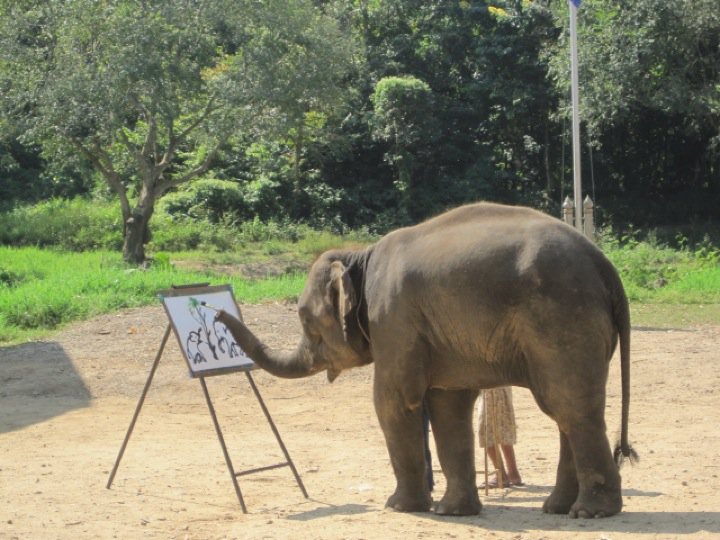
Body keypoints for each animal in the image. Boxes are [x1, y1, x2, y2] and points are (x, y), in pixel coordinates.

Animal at [216, 202, 636, 518]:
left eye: (305, 319)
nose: (216, 314)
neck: (359, 256)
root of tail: (605, 265)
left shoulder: (393, 319)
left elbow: (393, 400)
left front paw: (398, 507)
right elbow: (448, 406)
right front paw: (453, 512)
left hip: (562, 319)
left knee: (570, 405)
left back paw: (591, 512)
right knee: (565, 410)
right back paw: (557, 508)